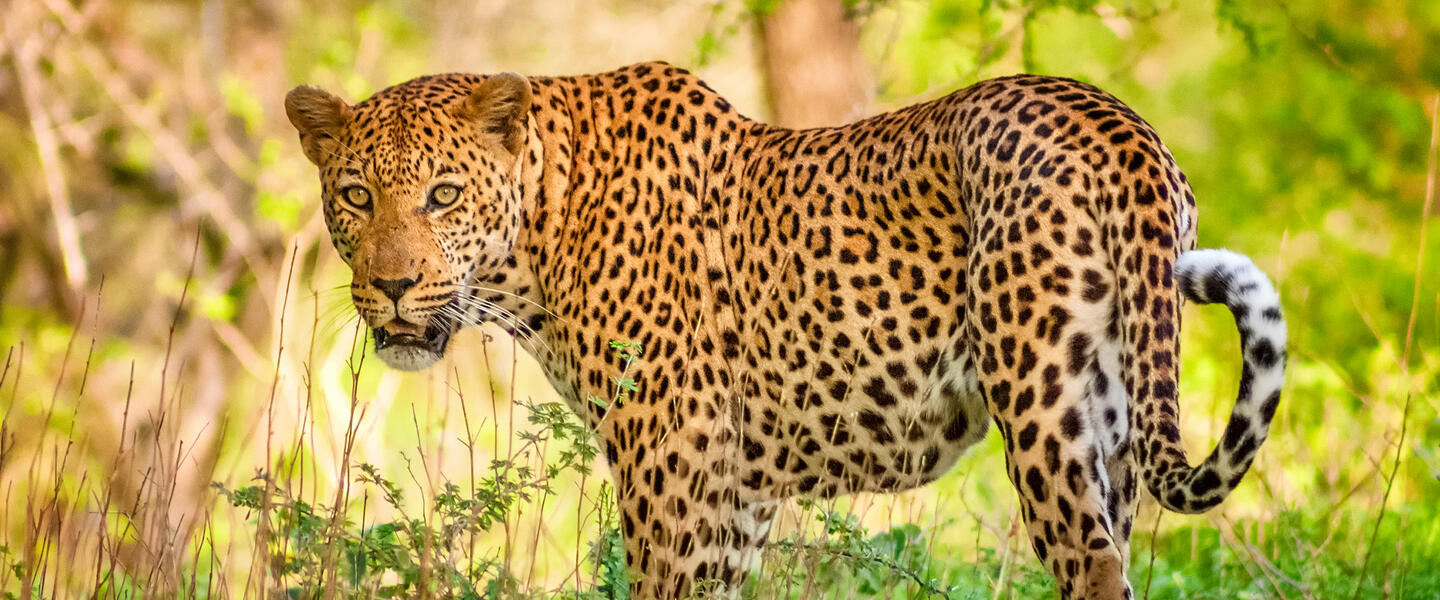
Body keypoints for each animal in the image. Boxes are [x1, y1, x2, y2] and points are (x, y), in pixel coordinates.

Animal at [286, 61, 1290, 598]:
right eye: (356, 196)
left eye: (442, 195)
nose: (391, 286)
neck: (539, 235)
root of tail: (1115, 120)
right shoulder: (733, 501)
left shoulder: (675, 478)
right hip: (1115, 421)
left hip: (1044, 409)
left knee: (1090, 568)